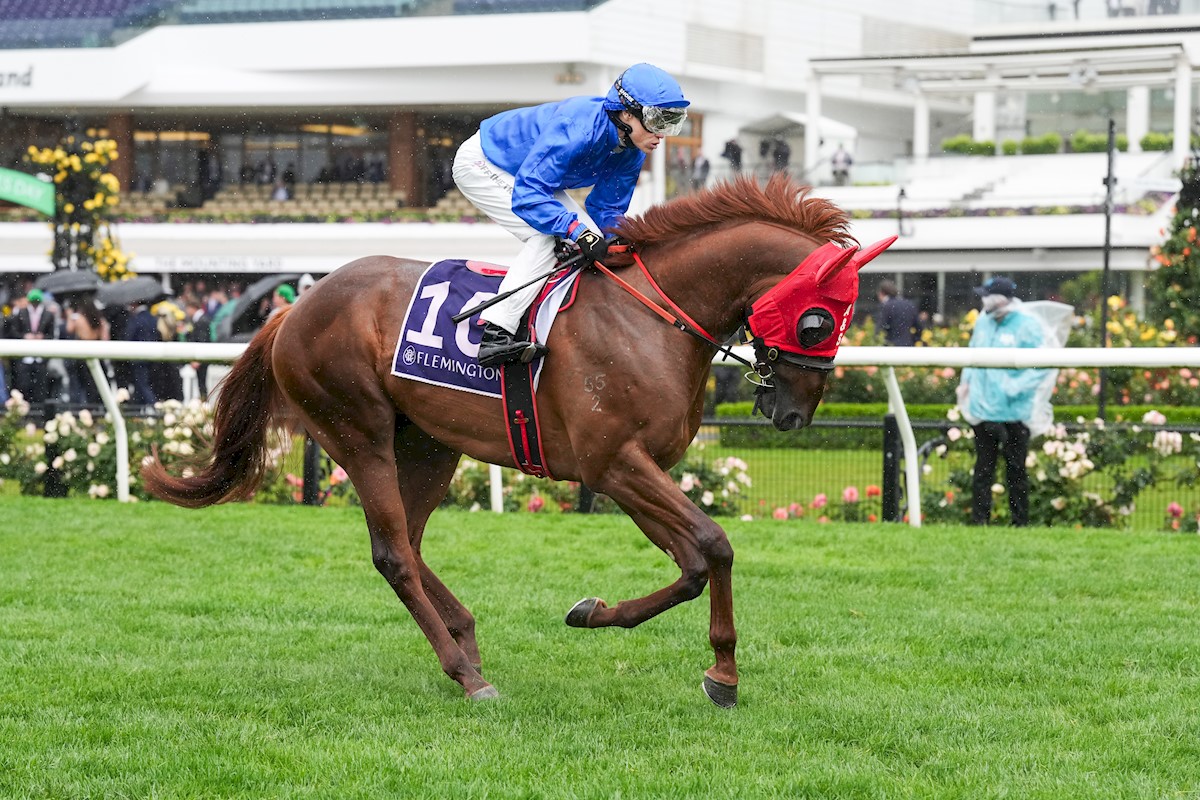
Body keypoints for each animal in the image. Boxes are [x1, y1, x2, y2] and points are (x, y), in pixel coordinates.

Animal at [143, 174, 891, 707]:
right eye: (821, 319)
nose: (794, 413)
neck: (649, 320)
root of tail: (293, 307)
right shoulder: (614, 463)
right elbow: (713, 543)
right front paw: (723, 671)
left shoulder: (631, 470)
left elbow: (694, 563)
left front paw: (603, 616)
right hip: (358, 431)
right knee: (392, 553)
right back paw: (466, 675)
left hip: (429, 445)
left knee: (410, 541)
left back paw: (466, 641)